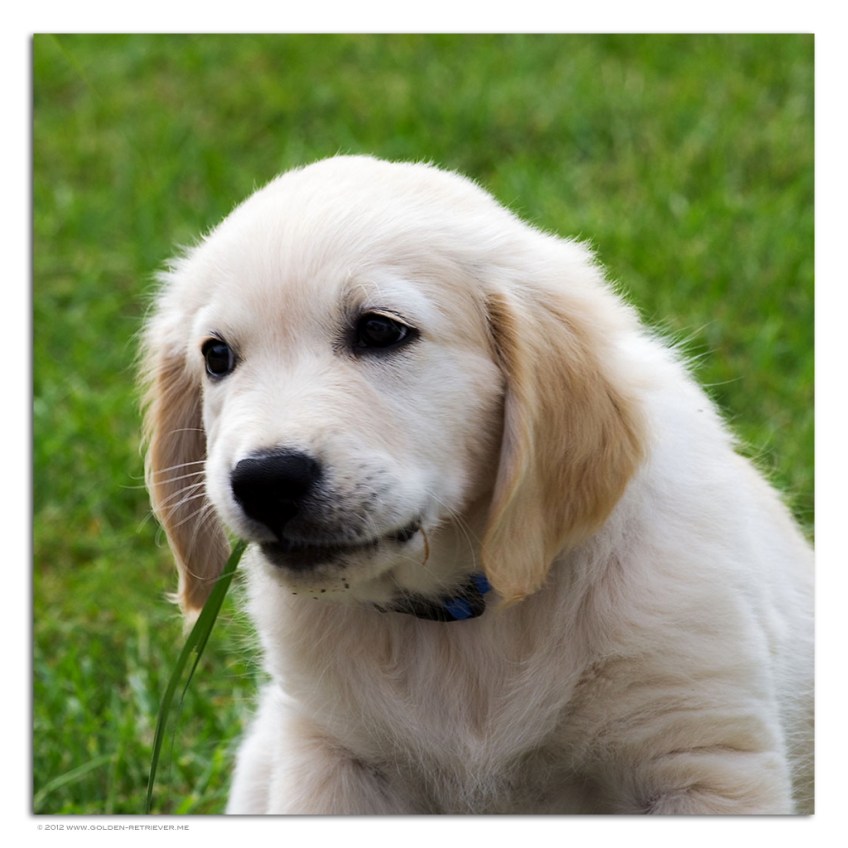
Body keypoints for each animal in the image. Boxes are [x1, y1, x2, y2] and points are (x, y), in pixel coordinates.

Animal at [141, 155, 813, 814]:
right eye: (217, 356)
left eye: (381, 330)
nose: (264, 481)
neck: (464, 618)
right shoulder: (330, 757)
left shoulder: (702, 752)